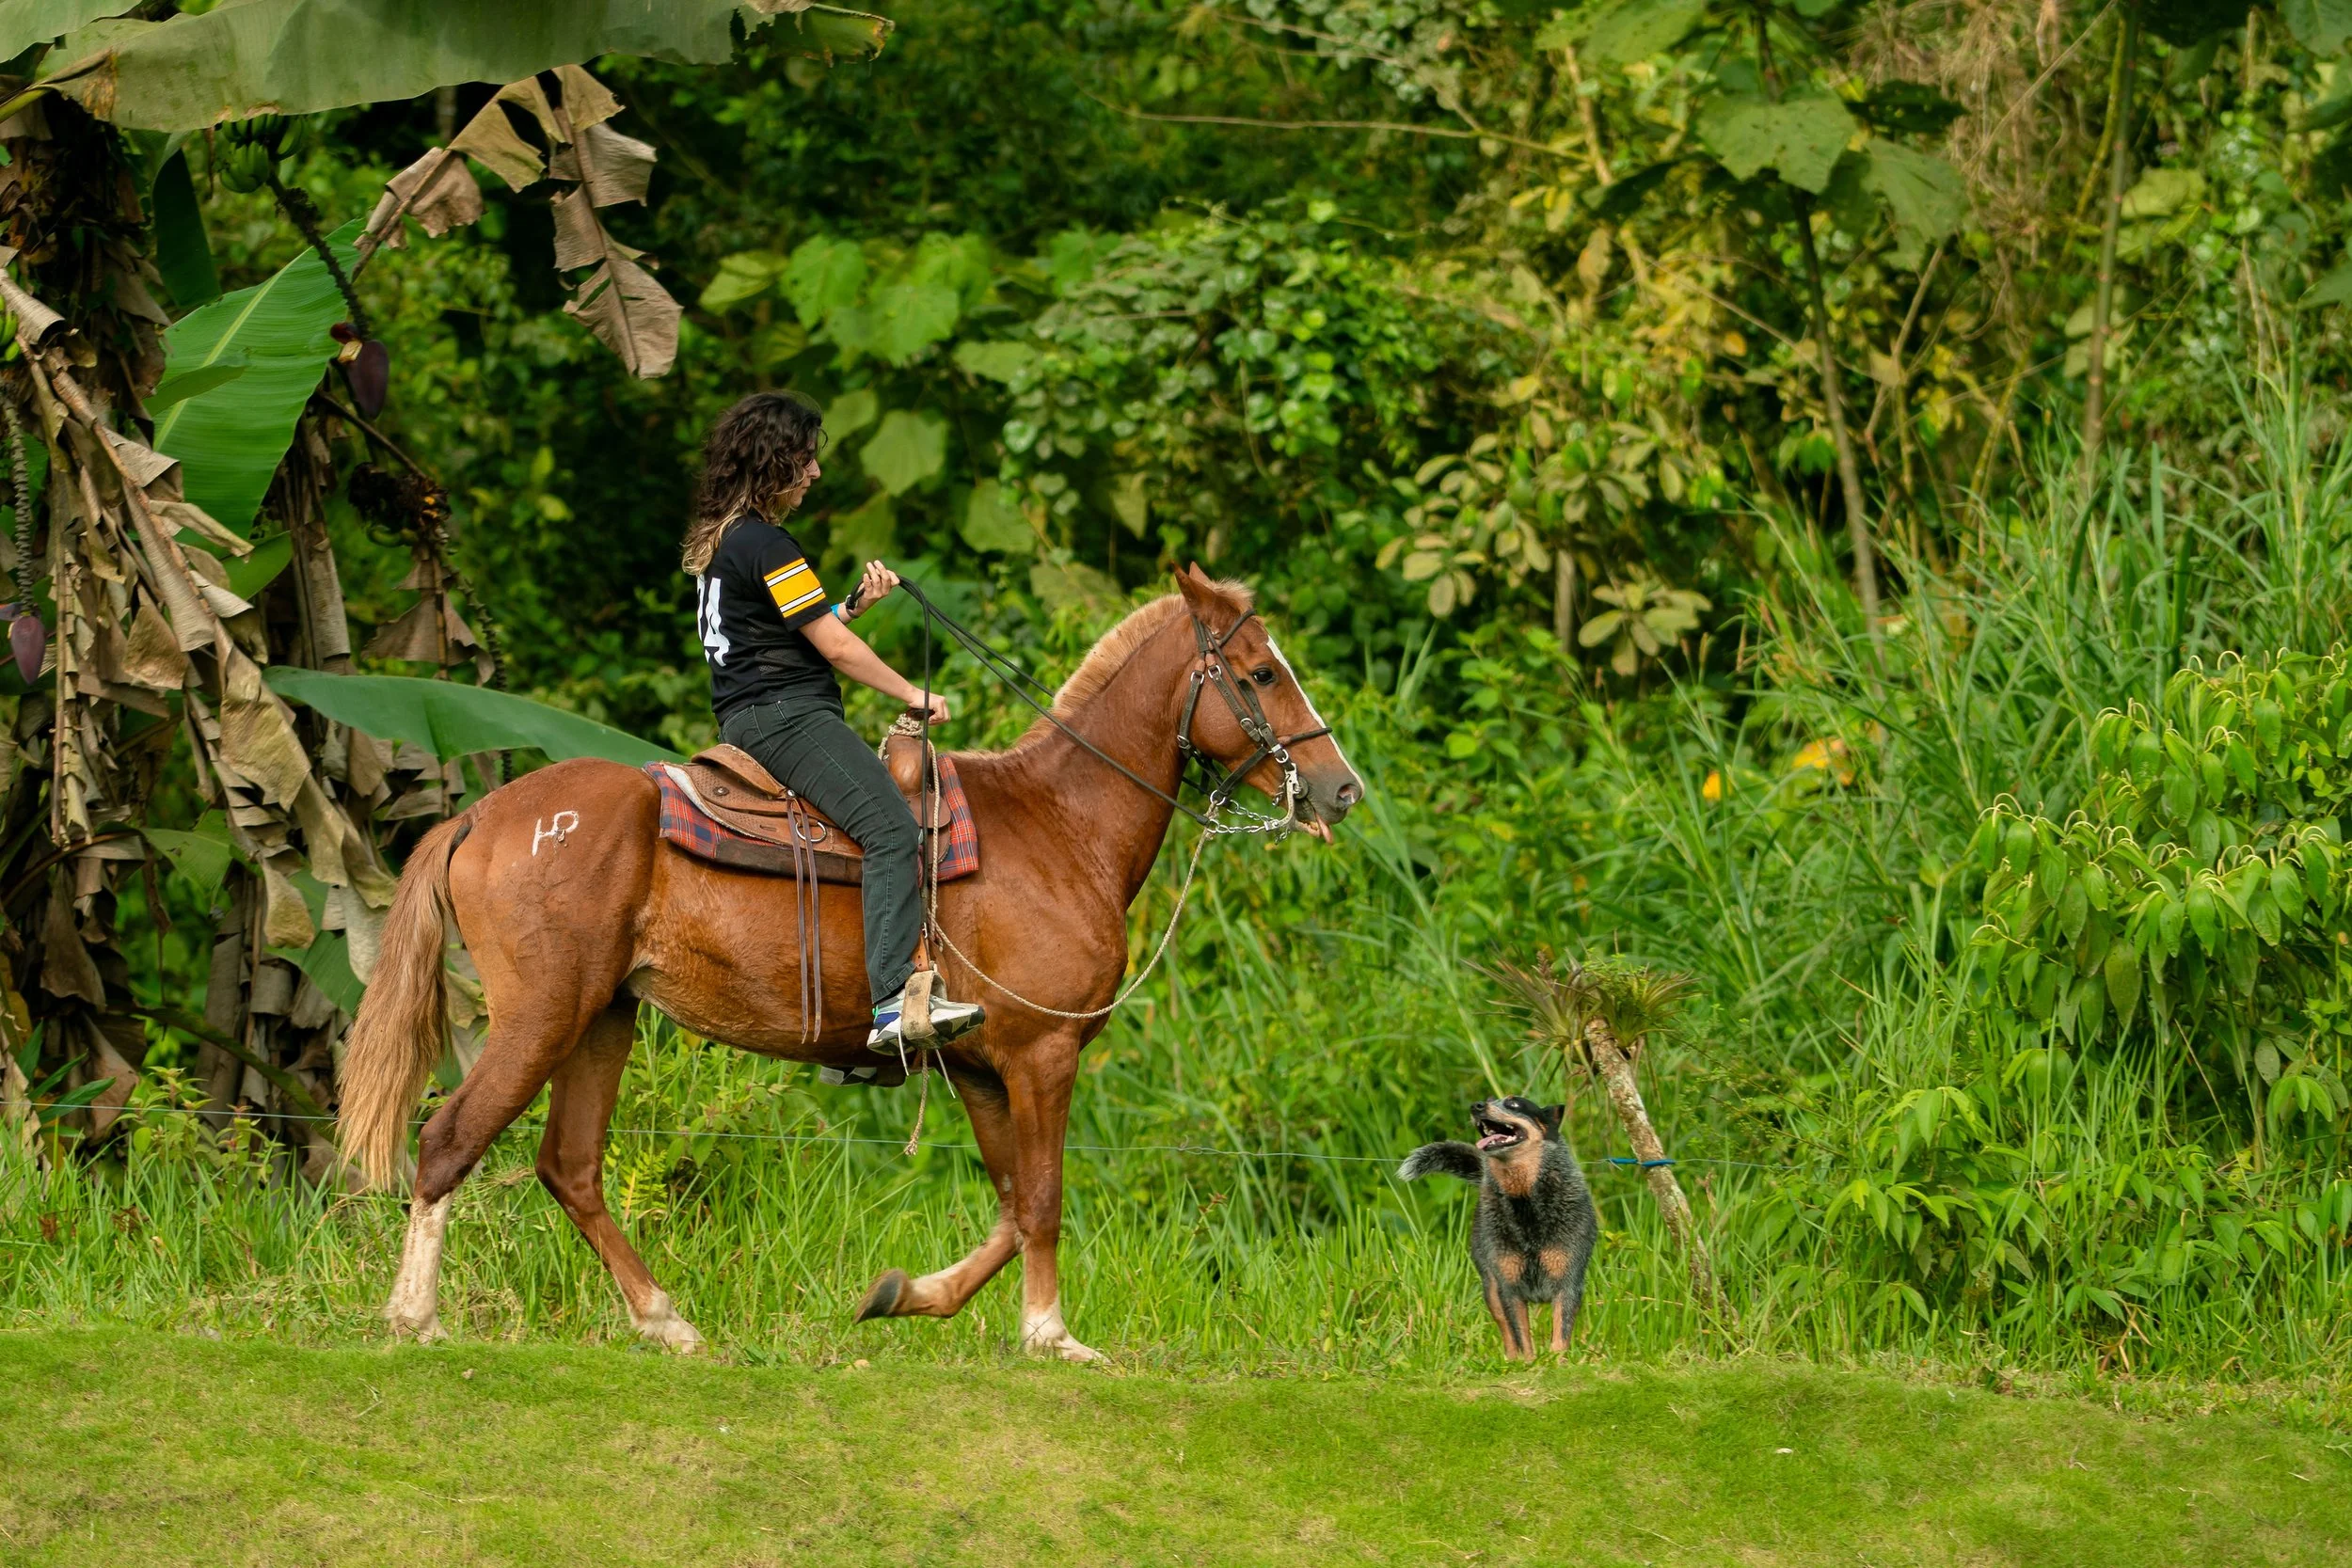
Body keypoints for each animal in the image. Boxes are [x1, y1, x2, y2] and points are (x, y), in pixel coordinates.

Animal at [336, 566, 1362, 1360]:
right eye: (1260, 672)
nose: (1342, 789)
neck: (1061, 823)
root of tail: (482, 816)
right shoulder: (1041, 1054)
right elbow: (1041, 1198)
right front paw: (1051, 1334)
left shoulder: (981, 1066)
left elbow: (1007, 1206)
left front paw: (907, 1295)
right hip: (544, 1012)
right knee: (449, 1139)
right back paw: (414, 1316)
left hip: (603, 1017)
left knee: (571, 1165)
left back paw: (665, 1320)